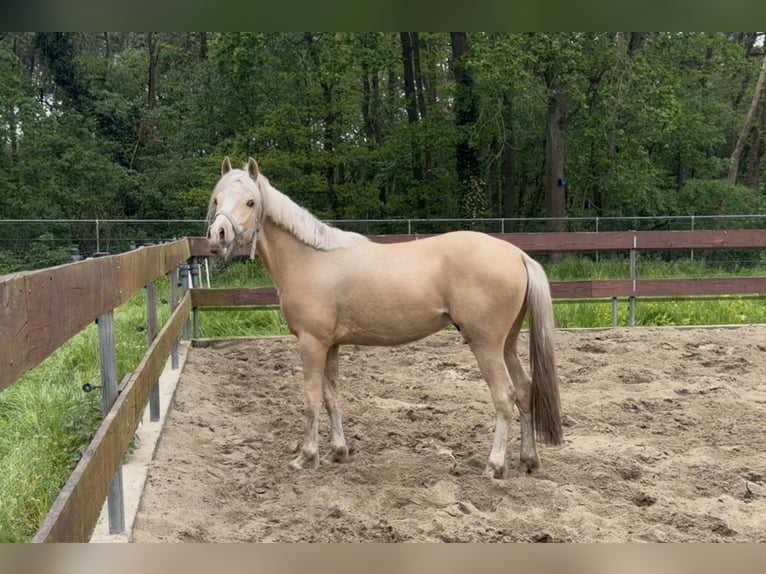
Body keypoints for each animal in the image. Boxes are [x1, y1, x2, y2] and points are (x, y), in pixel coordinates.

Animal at [206, 157, 562, 479]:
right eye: (217, 199)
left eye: (251, 201)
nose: (217, 236)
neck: (310, 259)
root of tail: (518, 254)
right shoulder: (331, 345)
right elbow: (332, 397)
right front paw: (338, 452)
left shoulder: (312, 343)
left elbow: (311, 398)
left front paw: (306, 457)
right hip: (507, 345)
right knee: (525, 391)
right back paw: (528, 460)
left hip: (485, 345)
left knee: (504, 397)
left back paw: (495, 466)